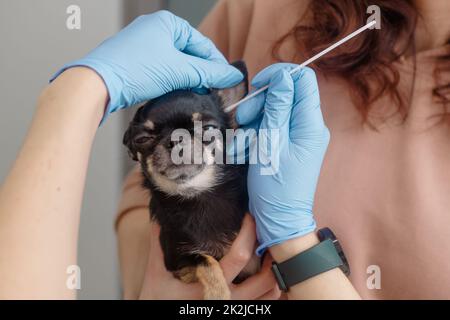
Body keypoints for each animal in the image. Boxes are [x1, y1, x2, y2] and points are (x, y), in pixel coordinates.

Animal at [124, 62, 256, 298]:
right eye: (142, 139)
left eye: (209, 128)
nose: (175, 139)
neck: (198, 194)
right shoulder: (177, 261)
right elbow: (205, 260)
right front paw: (218, 292)